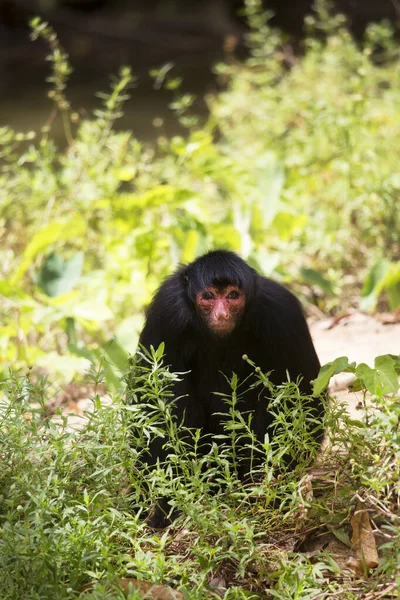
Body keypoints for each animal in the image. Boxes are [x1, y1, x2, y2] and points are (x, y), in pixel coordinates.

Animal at [137, 251, 322, 528]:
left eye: (233, 295)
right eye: (209, 296)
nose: (222, 314)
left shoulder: (281, 310)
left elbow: (308, 398)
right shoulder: (166, 310)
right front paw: (165, 505)